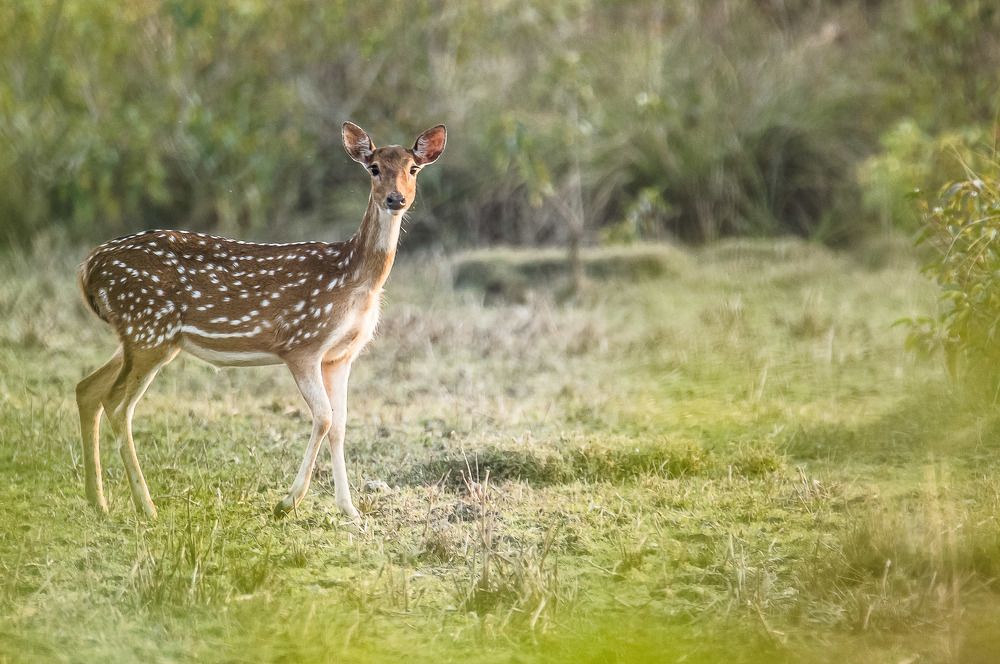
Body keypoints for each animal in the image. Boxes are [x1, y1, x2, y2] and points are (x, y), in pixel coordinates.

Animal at [75, 122, 446, 521]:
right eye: (374, 168)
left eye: (413, 169)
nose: (396, 199)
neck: (353, 279)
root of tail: (88, 269)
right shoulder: (301, 343)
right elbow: (324, 417)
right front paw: (287, 503)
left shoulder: (340, 356)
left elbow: (341, 423)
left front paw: (350, 512)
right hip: (149, 329)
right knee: (116, 403)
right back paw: (146, 506)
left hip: (139, 336)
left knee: (88, 389)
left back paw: (97, 501)